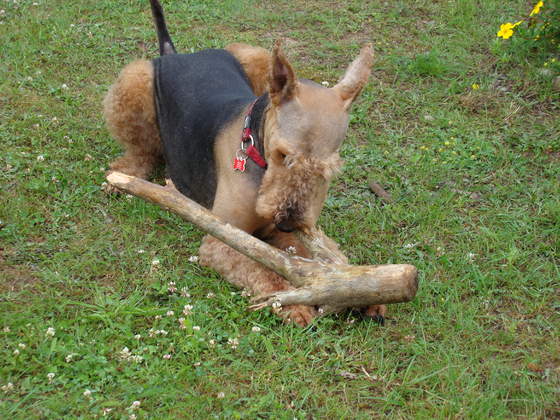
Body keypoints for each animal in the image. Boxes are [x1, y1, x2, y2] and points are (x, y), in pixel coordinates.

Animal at [103, 0, 384, 326]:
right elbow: (264, 271)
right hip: (135, 80)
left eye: (327, 170)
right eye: (283, 154)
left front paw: (363, 291)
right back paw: (123, 175)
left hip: (254, 56)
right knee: (141, 150)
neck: (257, 154)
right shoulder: (221, 241)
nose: (287, 221)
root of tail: (177, 54)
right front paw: (294, 304)